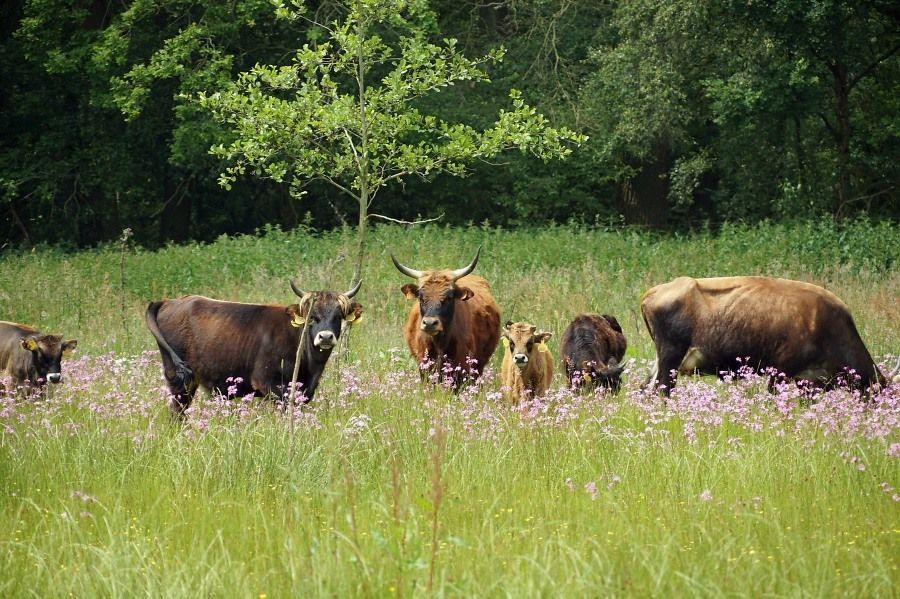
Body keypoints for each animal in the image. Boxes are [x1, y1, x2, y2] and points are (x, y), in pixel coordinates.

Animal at [144, 282, 362, 418]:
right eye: (312, 316)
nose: (325, 337)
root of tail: (169, 301)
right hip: (178, 380)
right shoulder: (268, 383)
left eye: (338, 316)